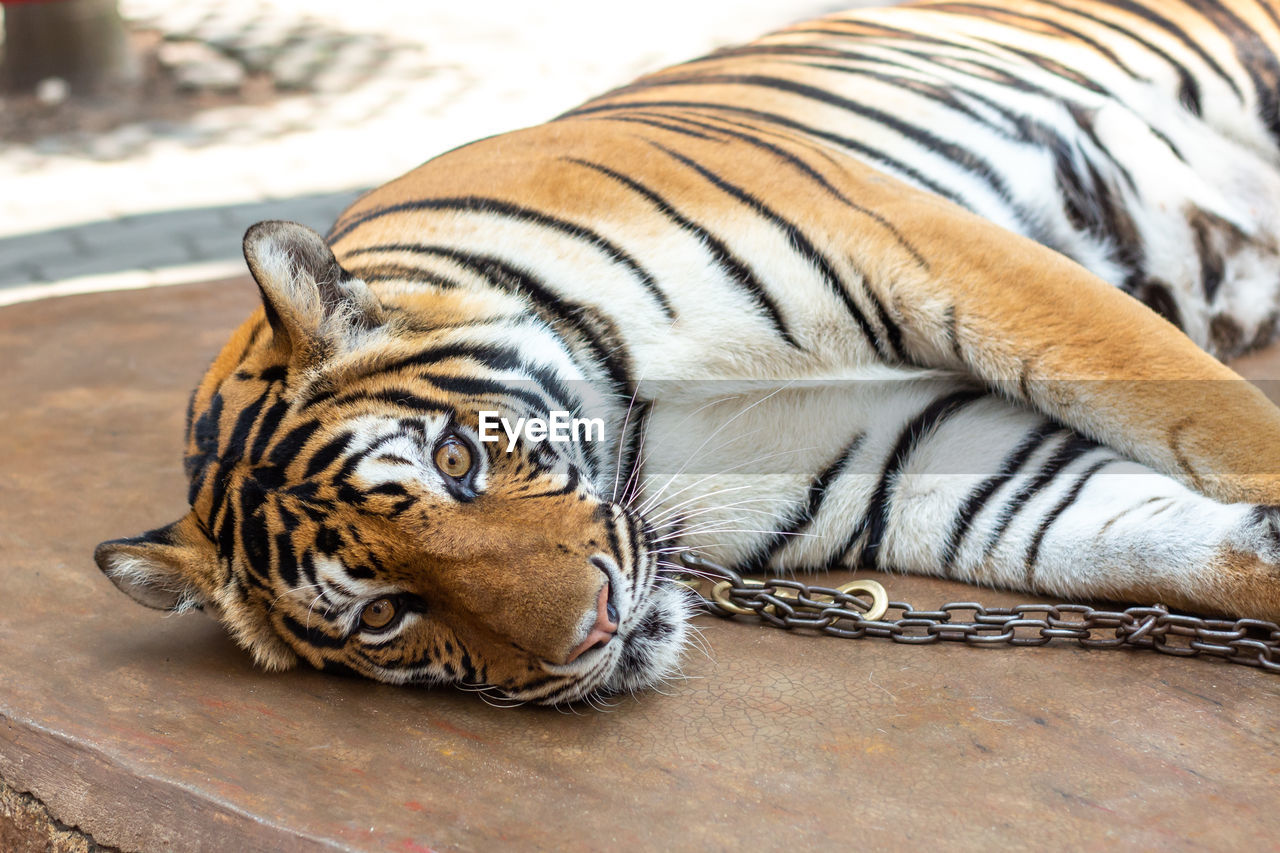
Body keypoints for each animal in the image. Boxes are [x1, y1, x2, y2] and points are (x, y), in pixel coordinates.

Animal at [99, 1, 1280, 701]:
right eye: (384, 613)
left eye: (456, 461)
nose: (590, 635)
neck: (642, 433)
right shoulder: (912, 454)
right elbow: (1118, 530)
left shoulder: (927, 249)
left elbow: (1213, 425)